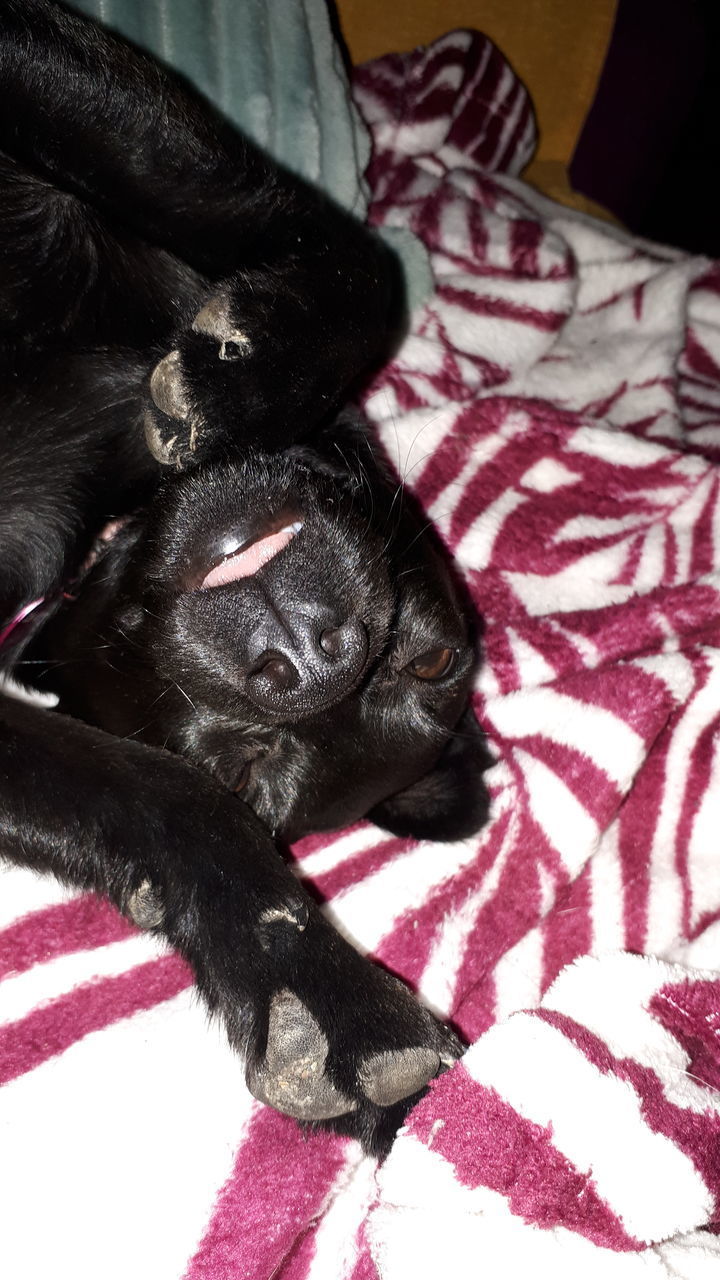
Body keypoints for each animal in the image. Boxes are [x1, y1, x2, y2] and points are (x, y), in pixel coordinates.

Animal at [0, 0, 486, 1157]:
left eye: (248, 772)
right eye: (437, 662)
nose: (312, 656)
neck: (106, 505)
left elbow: (147, 798)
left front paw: (315, 995)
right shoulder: (88, 90)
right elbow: (357, 259)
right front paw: (244, 371)